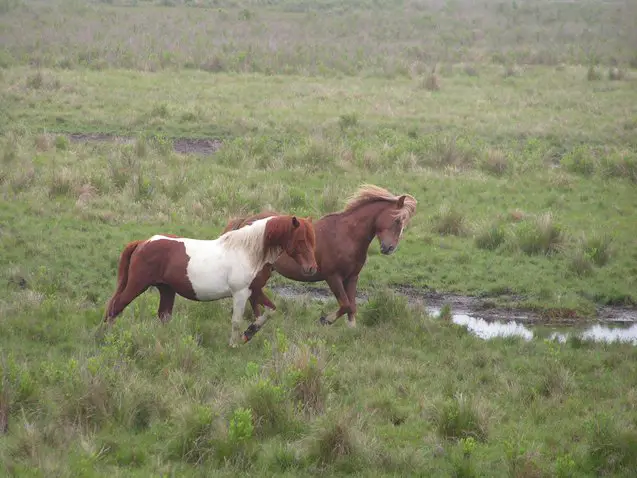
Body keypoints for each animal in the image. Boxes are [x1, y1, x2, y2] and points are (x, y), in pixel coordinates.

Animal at [102, 215, 318, 346]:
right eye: (301, 240)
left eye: (312, 239)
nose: (312, 268)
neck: (248, 251)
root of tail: (143, 243)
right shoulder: (241, 293)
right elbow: (237, 320)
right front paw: (234, 344)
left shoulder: (254, 291)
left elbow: (268, 312)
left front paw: (249, 333)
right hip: (137, 285)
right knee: (116, 307)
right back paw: (107, 336)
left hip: (166, 289)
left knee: (163, 315)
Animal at [224, 183, 418, 340]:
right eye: (397, 220)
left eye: (403, 223)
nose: (389, 248)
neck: (347, 235)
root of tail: (246, 221)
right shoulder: (333, 277)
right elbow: (345, 304)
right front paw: (325, 320)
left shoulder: (352, 277)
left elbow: (352, 307)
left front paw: (351, 330)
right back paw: (254, 326)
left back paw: (255, 324)